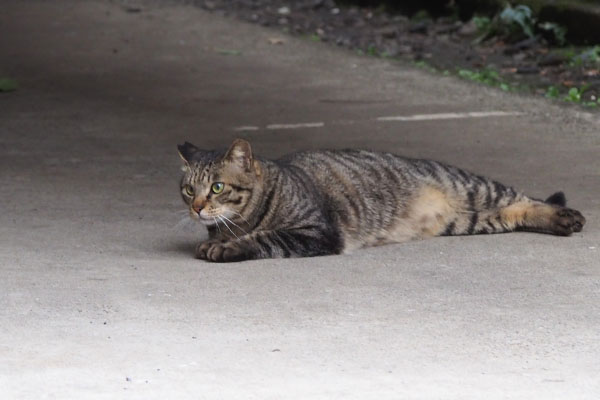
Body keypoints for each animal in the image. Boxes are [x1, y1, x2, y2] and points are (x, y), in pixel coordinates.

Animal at [178, 138, 584, 262]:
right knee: (516, 211)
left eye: (217, 187)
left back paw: (568, 217)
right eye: (188, 189)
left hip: (476, 186)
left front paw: (226, 247)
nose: (196, 207)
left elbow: (261, 238)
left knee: (527, 197)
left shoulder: (315, 232)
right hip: (472, 220)